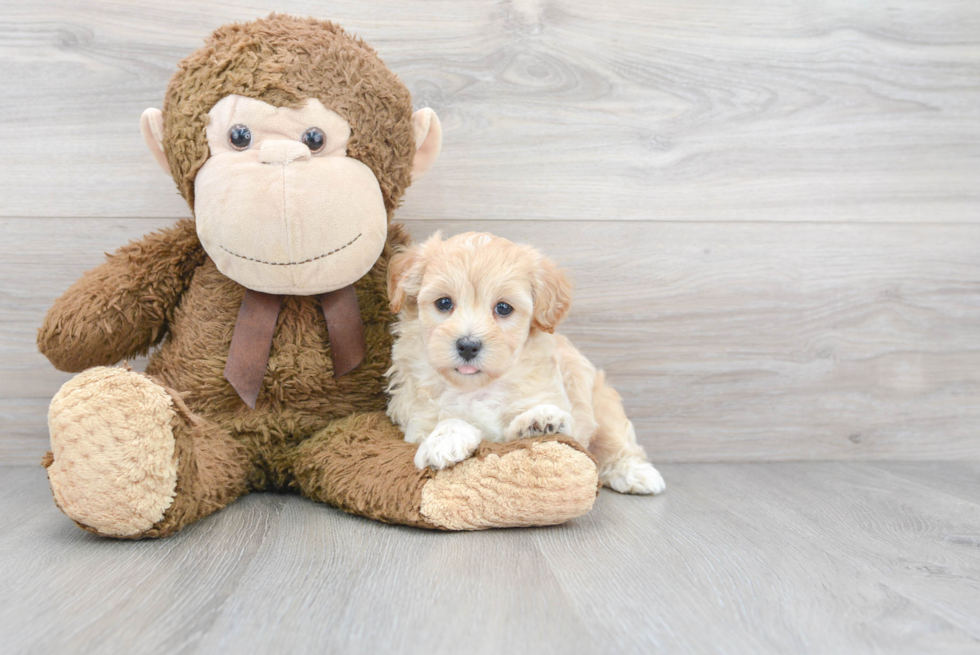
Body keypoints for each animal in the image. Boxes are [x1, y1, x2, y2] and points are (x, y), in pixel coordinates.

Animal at [382, 233, 668, 494]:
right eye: (443, 303)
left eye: (503, 308)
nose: (468, 345)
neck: (477, 387)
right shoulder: (417, 418)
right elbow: (449, 419)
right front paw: (444, 440)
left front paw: (539, 421)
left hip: (603, 405)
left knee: (617, 443)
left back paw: (636, 473)